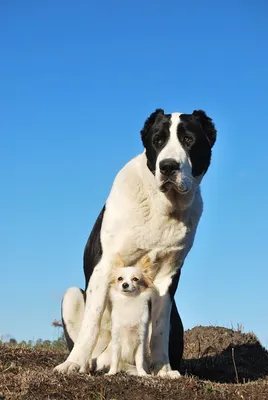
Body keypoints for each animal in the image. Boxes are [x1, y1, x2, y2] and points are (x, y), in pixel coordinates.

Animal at [54, 108, 216, 378]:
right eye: (158, 140)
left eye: (188, 140)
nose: (168, 166)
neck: (161, 206)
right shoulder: (104, 265)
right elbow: (92, 320)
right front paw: (73, 364)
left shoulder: (167, 277)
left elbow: (159, 329)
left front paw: (163, 370)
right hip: (72, 295)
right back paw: (89, 362)